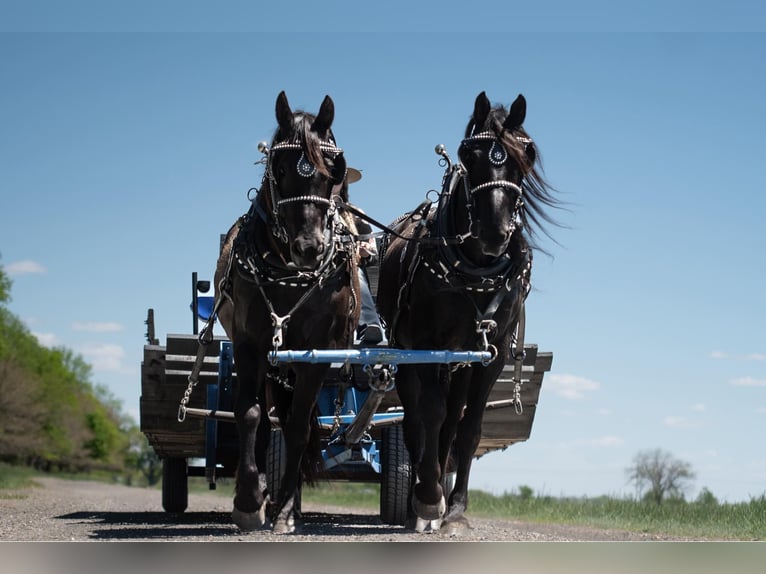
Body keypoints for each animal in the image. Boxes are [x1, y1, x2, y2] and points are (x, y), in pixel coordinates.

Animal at [214, 91, 362, 536]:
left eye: (332, 171)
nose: (309, 247)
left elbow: (297, 428)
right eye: (279, 168)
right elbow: (249, 415)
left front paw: (282, 511)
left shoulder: (316, 355)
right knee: (264, 420)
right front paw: (249, 501)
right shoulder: (250, 343)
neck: (289, 273)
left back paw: (287, 504)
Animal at [376, 92, 560, 536]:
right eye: (467, 154)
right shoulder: (426, 347)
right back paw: (419, 501)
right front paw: (427, 499)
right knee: (416, 423)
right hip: (410, 356)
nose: (495, 232)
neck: (474, 267)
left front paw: (455, 508)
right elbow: (429, 416)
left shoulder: (490, 353)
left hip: (461, 364)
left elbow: (468, 428)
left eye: (527, 153)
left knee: (451, 422)